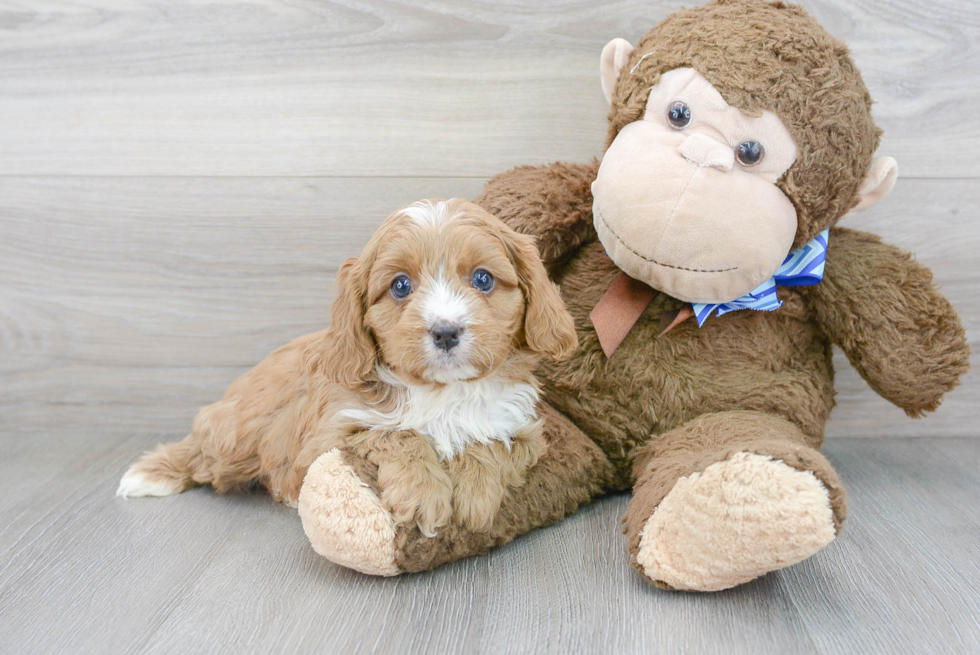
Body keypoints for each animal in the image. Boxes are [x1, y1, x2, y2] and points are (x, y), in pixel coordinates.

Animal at [116, 201, 580, 540]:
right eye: (400, 286)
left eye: (483, 279)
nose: (446, 331)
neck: (443, 391)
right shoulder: (332, 430)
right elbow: (395, 433)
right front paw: (423, 493)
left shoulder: (523, 425)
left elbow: (494, 442)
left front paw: (477, 492)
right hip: (236, 433)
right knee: (203, 451)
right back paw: (153, 473)